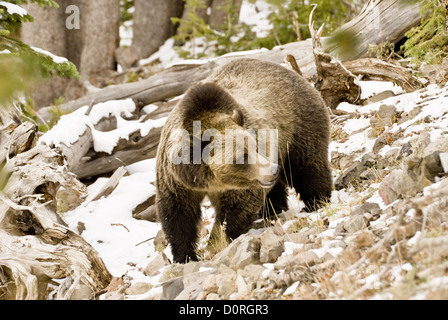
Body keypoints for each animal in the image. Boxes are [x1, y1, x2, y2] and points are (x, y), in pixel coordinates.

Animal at [156, 57, 330, 262]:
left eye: (254, 147)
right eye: (242, 156)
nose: (272, 170)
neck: (208, 180)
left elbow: (236, 209)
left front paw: (216, 242)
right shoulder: (175, 180)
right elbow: (177, 214)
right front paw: (185, 255)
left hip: (297, 126)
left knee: (307, 167)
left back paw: (316, 201)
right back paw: (273, 210)